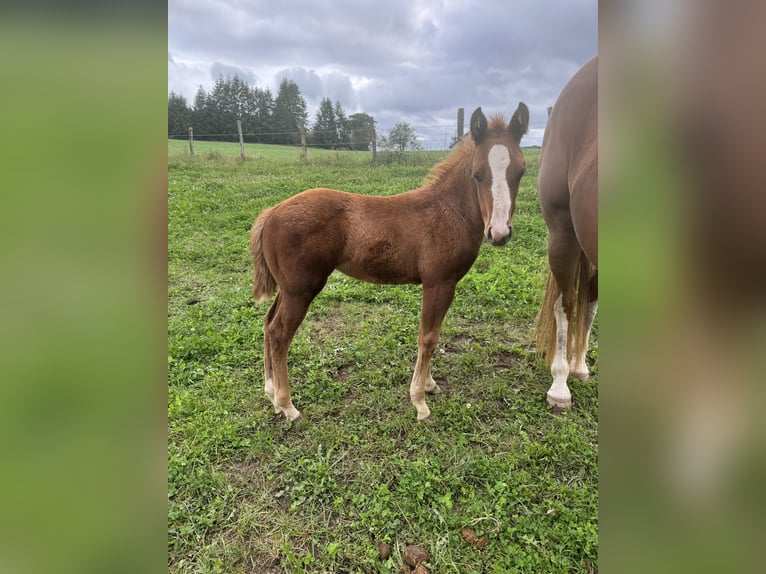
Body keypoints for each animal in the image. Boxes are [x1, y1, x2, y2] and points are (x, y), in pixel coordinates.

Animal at [252, 106, 528, 424]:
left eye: (521, 171)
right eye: (478, 174)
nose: (499, 233)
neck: (448, 212)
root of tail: (272, 212)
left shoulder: (445, 285)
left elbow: (434, 334)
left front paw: (430, 385)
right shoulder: (438, 283)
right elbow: (428, 337)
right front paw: (419, 401)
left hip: (288, 288)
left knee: (268, 323)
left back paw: (271, 392)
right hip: (301, 290)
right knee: (279, 333)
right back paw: (287, 405)